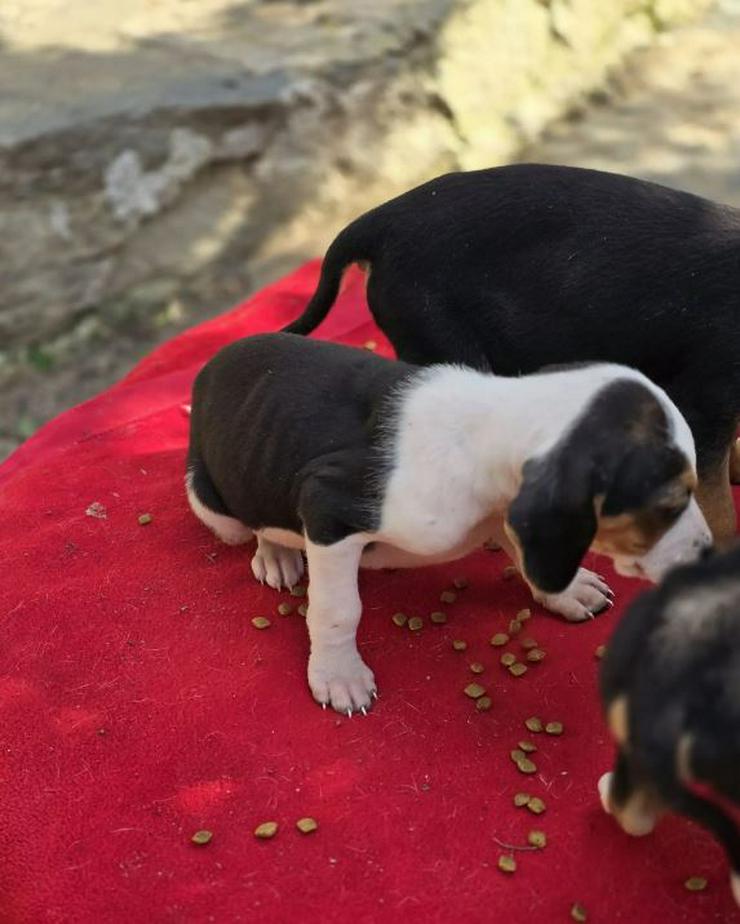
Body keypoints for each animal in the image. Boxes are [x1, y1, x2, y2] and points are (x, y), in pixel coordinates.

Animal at [186, 332, 712, 716]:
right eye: (669, 504)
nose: (707, 551)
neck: (487, 426)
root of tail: (212, 366)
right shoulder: (328, 509)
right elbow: (338, 610)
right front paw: (338, 674)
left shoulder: (508, 512)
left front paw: (568, 591)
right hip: (212, 500)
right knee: (255, 525)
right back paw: (276, 553)